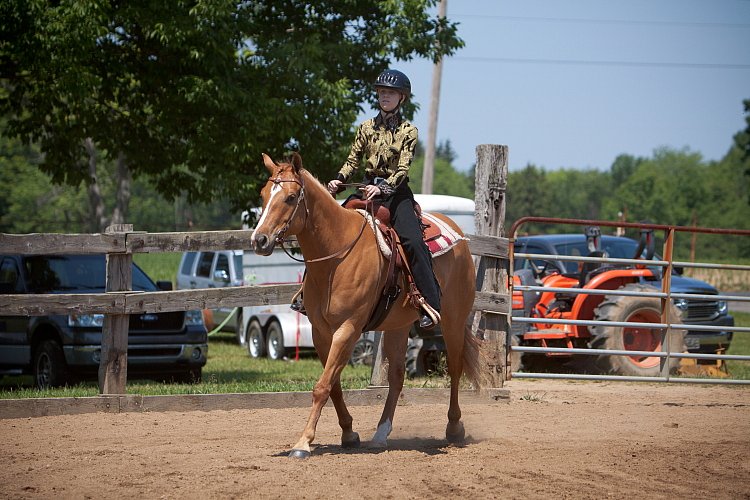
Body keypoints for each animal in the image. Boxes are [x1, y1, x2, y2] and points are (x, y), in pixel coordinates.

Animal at [253, 151, 488, 458]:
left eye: (291, 197)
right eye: (263, 194)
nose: (259, 240)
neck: (336, 255)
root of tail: (459, 235)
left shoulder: (348, 329)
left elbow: (322, 386)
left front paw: (303, 442)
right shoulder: (320, 331)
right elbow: (333, 385)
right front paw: (349, 433)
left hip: (453, 320)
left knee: (456, 368)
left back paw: (454, 428)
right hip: (398, 326)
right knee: (397, 376)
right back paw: (380, 433)